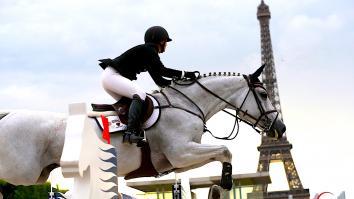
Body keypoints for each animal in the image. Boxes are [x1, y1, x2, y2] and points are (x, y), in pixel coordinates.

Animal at [0, 65, 284, 190]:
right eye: (263, 94)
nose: (279, 129)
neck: (187, 104)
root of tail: (7, 116)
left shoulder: (179, 161)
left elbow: (221, 153)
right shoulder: (182, 152)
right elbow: (225, 150)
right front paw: (225, 182)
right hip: (22, 172)